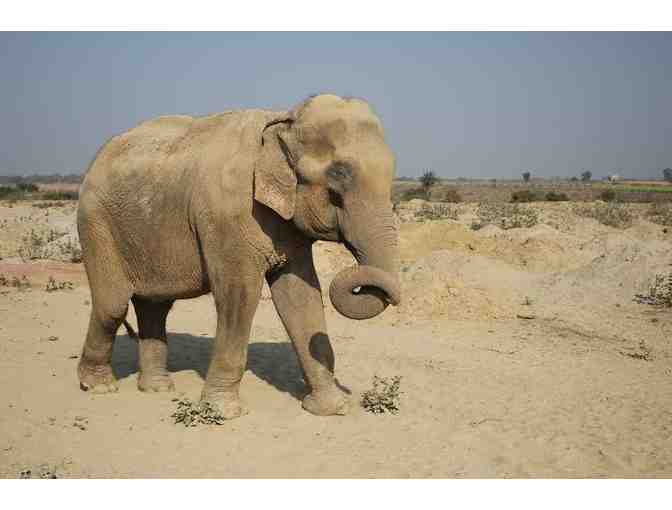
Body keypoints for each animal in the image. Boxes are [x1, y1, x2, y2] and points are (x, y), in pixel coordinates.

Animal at [76, 94, 400, 418]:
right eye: (338, 174)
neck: (281, 119)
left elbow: (299, 296)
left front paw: (330, 408)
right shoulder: (228, 215)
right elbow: (239, 295)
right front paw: (222, 411)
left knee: (155, 306)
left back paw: (157, 389)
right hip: (96, 223)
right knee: (113, 305)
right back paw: (99, 387)